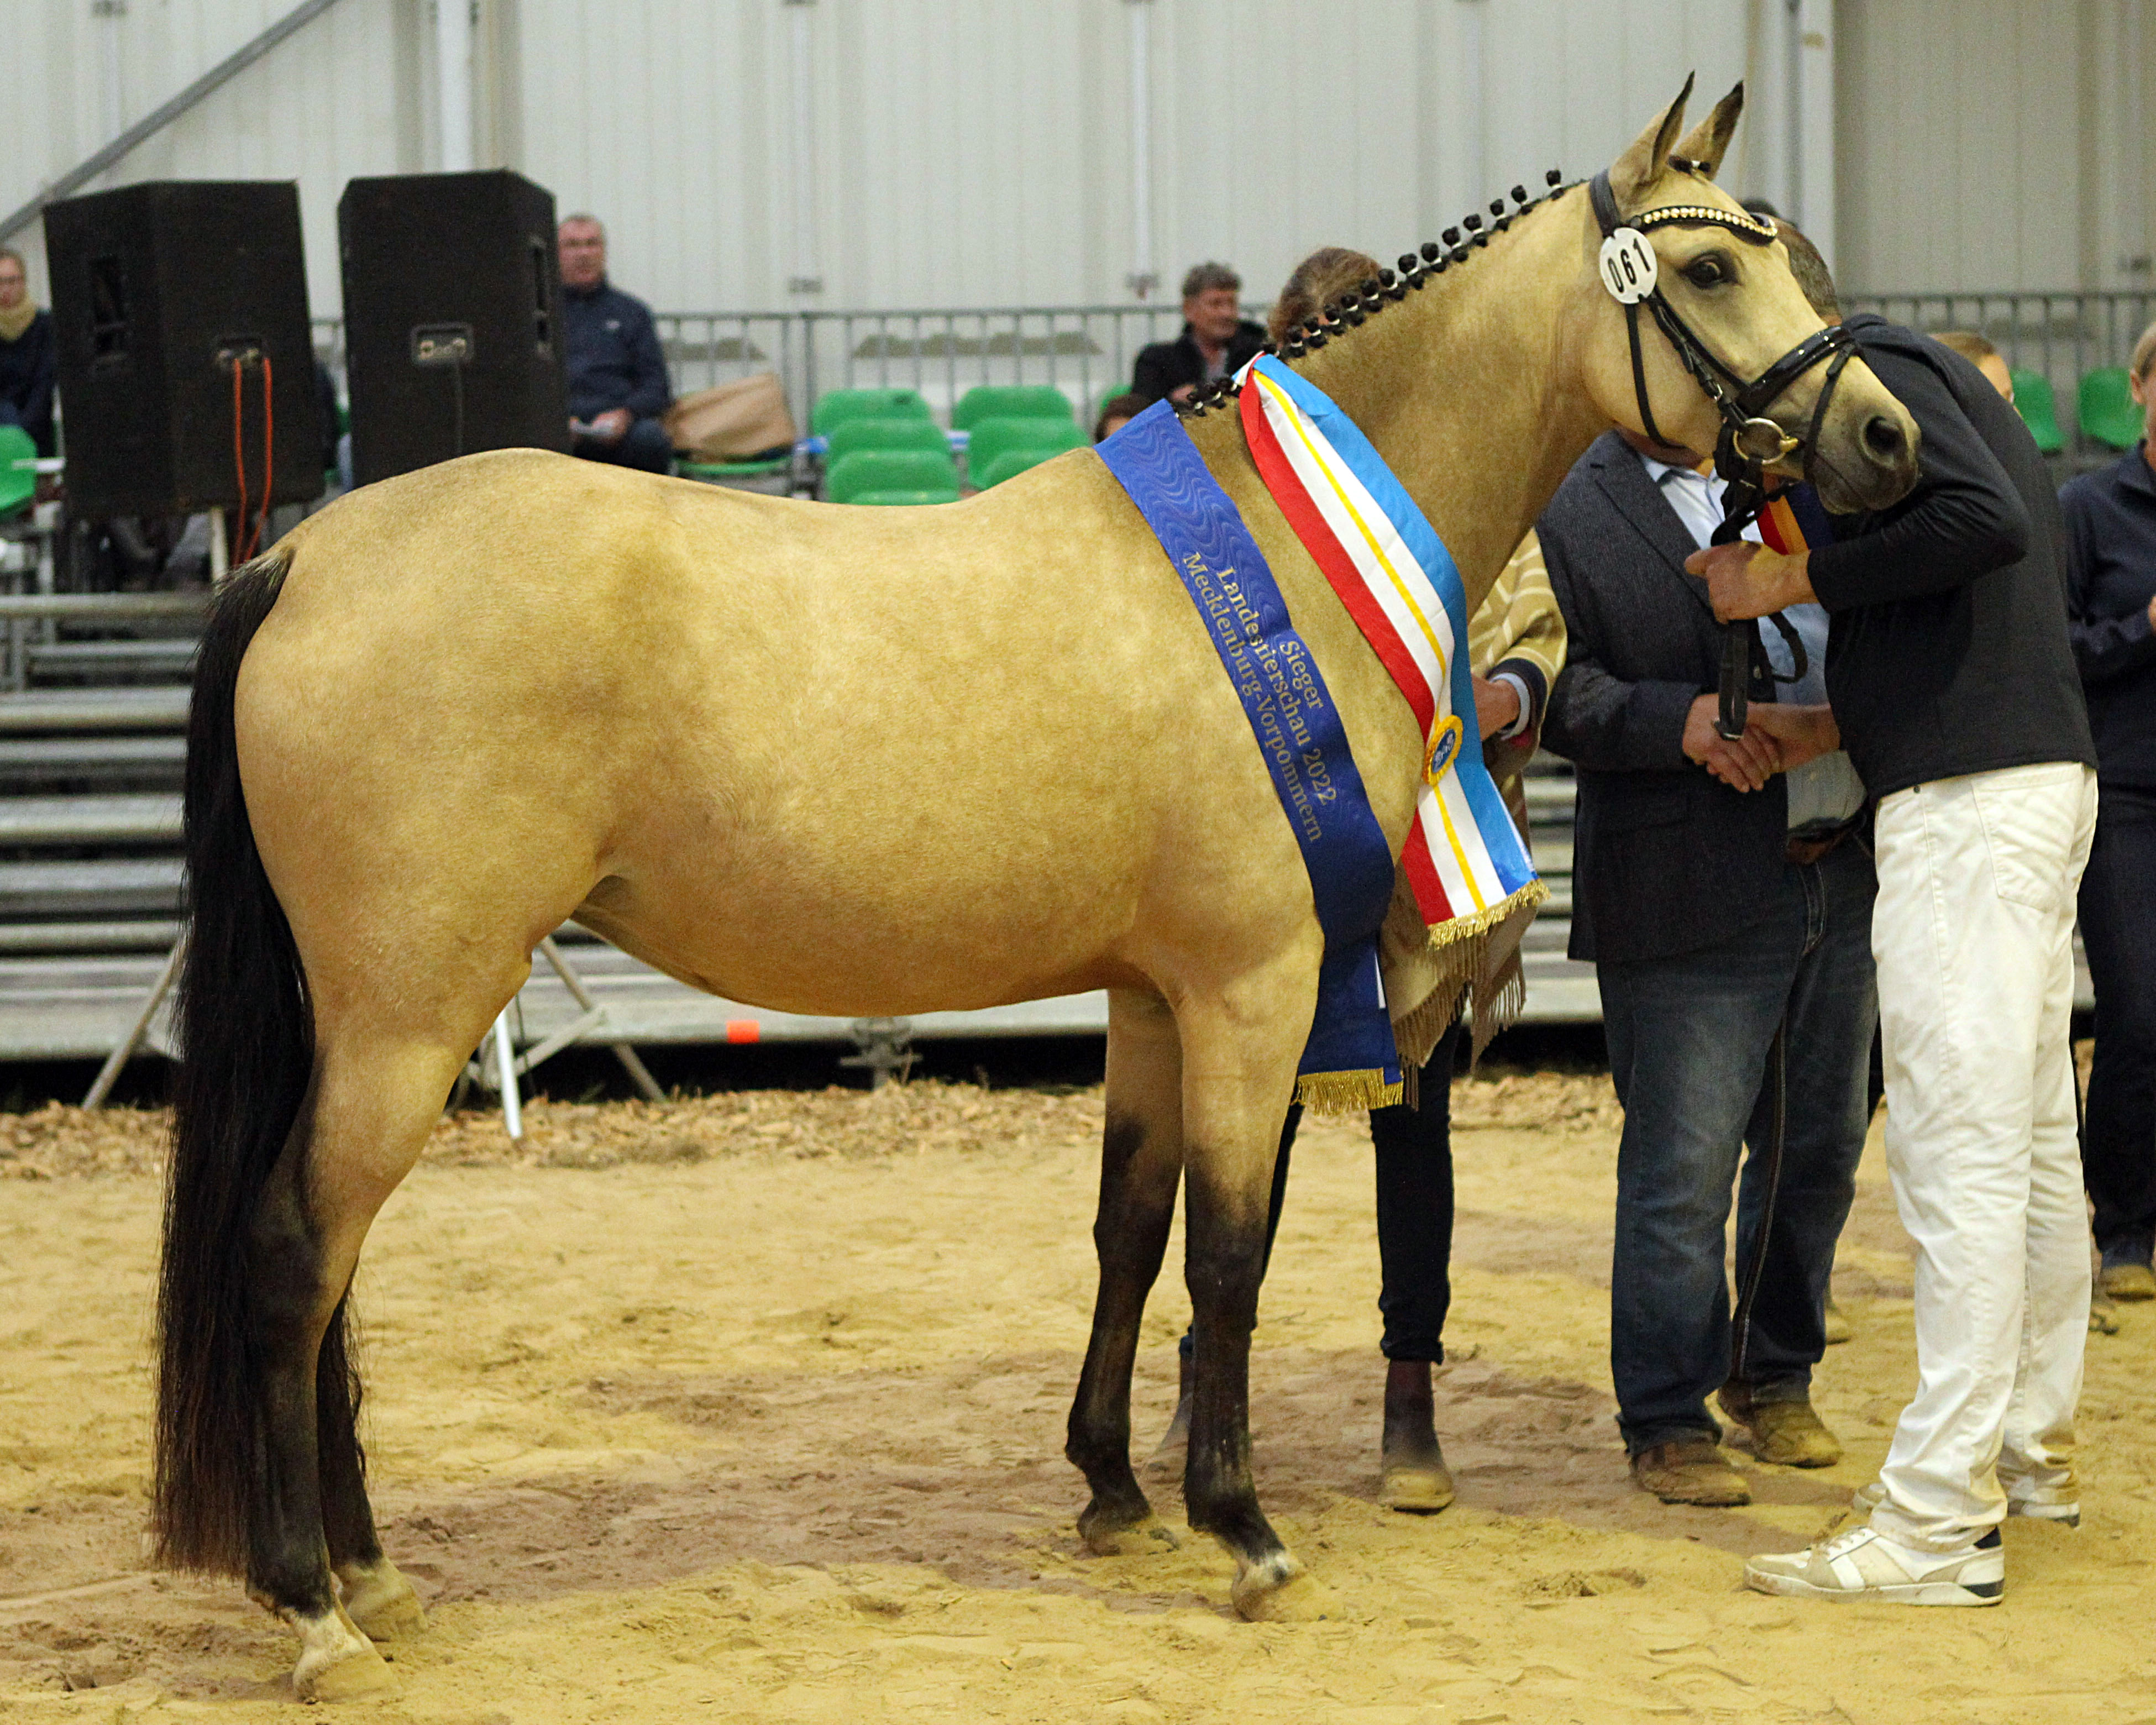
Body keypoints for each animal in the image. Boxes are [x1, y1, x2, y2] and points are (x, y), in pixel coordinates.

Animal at [164, 84, 1923, 1699]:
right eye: (1707, 272)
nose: (1886, 440)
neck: (1282, 553)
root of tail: (305, 555)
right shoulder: (1250, 988)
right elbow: (1230, 1254)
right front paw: (1243, 1531)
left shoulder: (1148, 994)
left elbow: (1127, 1232)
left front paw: (1113, 1493)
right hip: (411, 1015)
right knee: (294, 1257)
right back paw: (317, 1610)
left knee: (330, 1277)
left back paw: (373, 1577)